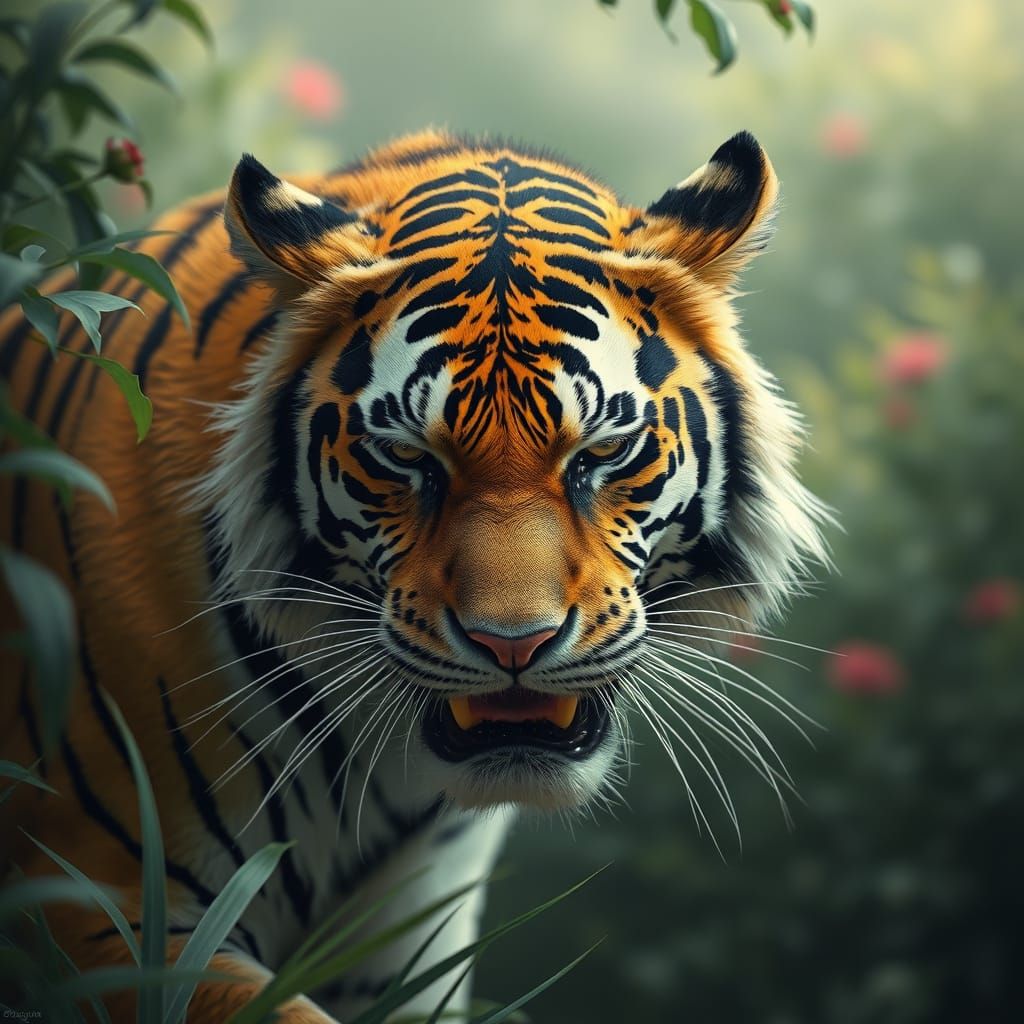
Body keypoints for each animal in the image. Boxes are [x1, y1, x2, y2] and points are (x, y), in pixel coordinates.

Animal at [0, 128, 827, 1021]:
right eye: (405, 457)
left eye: (604, 450)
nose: (514, 645)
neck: (380, 771)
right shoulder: (99, 893)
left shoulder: (407, 938)